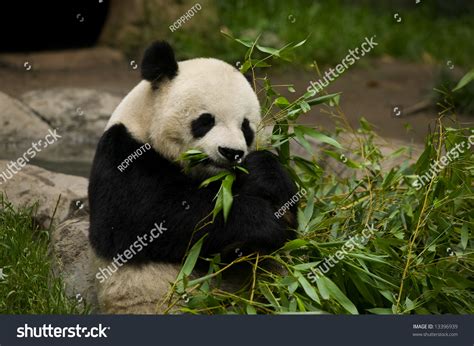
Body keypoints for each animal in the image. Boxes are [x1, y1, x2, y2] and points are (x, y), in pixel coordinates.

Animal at [87, 40, 298, 314]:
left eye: (246, 127)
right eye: (205, 121)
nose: (231, 152)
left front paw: (264, 177)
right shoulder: (123, 154)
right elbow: (152, 217)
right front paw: (260, 221)